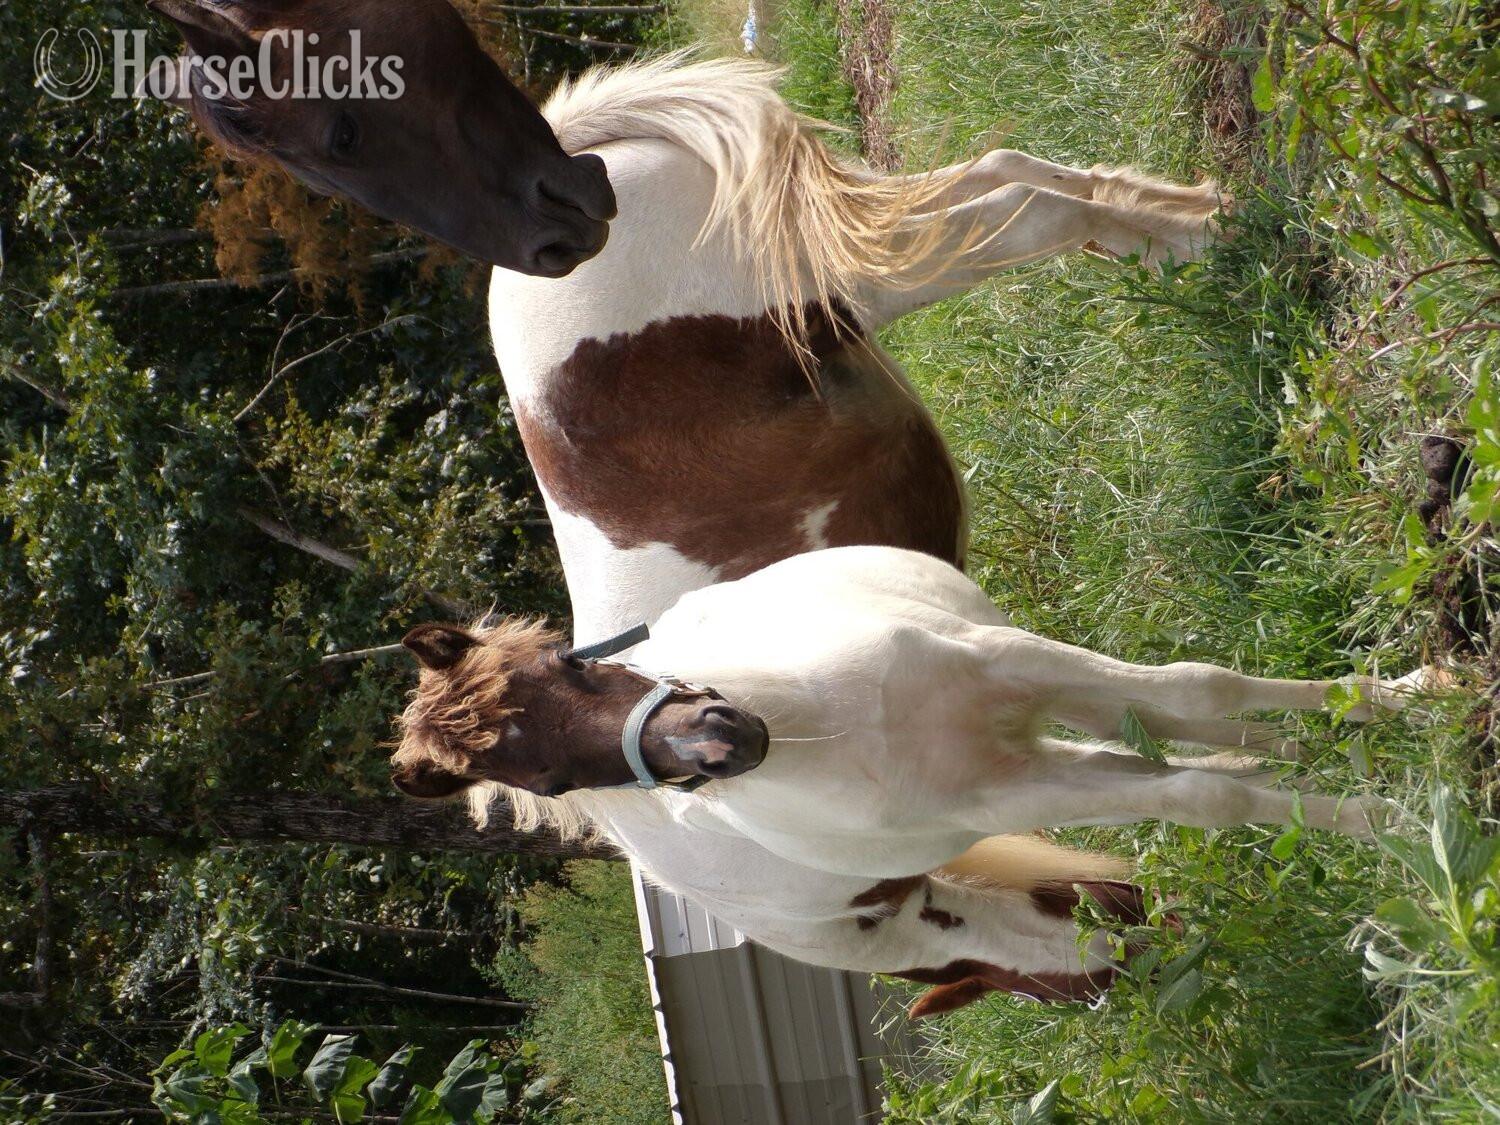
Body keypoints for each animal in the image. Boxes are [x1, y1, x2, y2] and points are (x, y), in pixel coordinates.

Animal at [149, 0, 1230, 1011]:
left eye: (336, 131)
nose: (556, 222)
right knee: (1013, 182)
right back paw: (1191, 216)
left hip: (849, 288)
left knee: (1021, 207)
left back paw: (1205, 233)